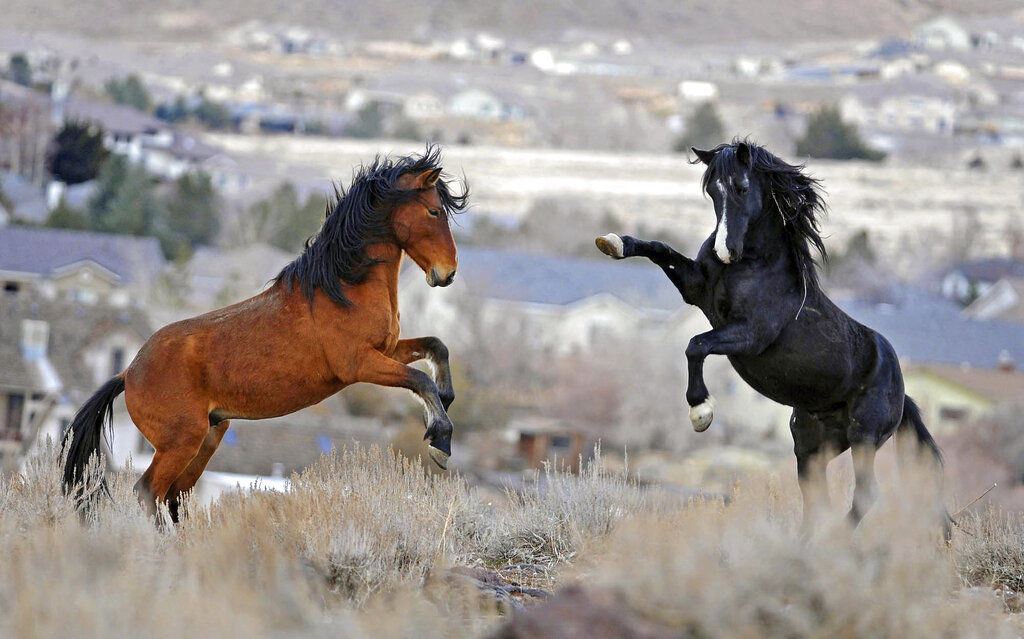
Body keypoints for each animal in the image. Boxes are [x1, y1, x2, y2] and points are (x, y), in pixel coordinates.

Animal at [62, 145, 468, 521]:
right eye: (434, 212)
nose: (447, 273)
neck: (342, 287)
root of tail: (128, 373)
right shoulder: (360, 364)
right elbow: (420, 380)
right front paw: (440, 441)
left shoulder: (387, 349)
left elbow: (437, 347)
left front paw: (447, 401)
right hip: (181, 442)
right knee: (148, 492)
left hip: (207, 438)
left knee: (174, 497)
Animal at [595, 140, 945, 530]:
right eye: (712, 190)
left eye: (742, 187)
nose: (725, 251)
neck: (753, 264)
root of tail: (901, 391)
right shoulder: (695, 288)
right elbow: (660, 249)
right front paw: (613, 242)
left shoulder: (749, 335)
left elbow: (696, 345)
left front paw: (701, 412)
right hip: (812, 446)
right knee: (816, 498)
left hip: (864, 436)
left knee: (866, 495)